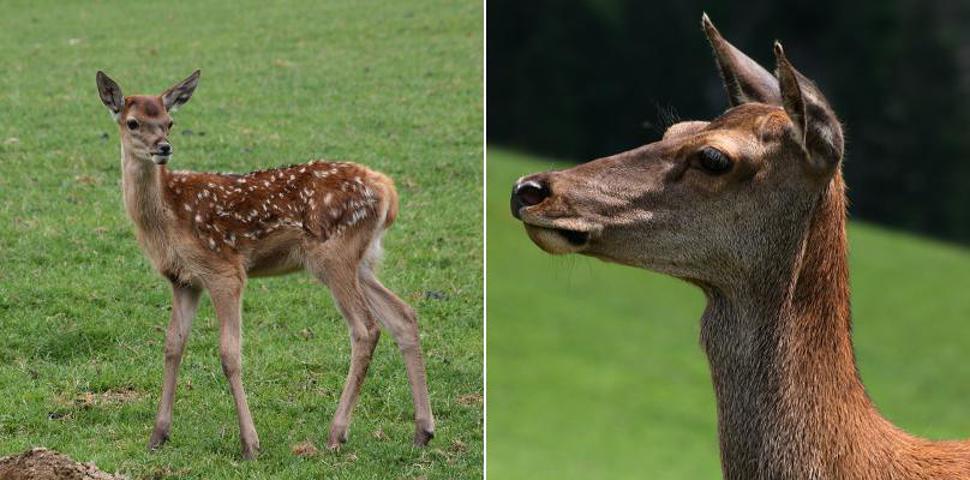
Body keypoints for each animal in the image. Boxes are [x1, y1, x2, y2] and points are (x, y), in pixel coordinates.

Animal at [96, 70, 432, 458]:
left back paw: (336, 433)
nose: (163, 147)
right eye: (133, 122)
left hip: (334, 254)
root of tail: (388, 190)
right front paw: (158, 435)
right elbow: (172, 346)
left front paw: (250, 444)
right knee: (403, 315)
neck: (166, 217)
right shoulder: (183, 280)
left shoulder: (224, 269)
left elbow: (229, 353)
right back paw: (423, 431)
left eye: (169, 121)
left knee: (366, 329)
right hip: (361, 261)